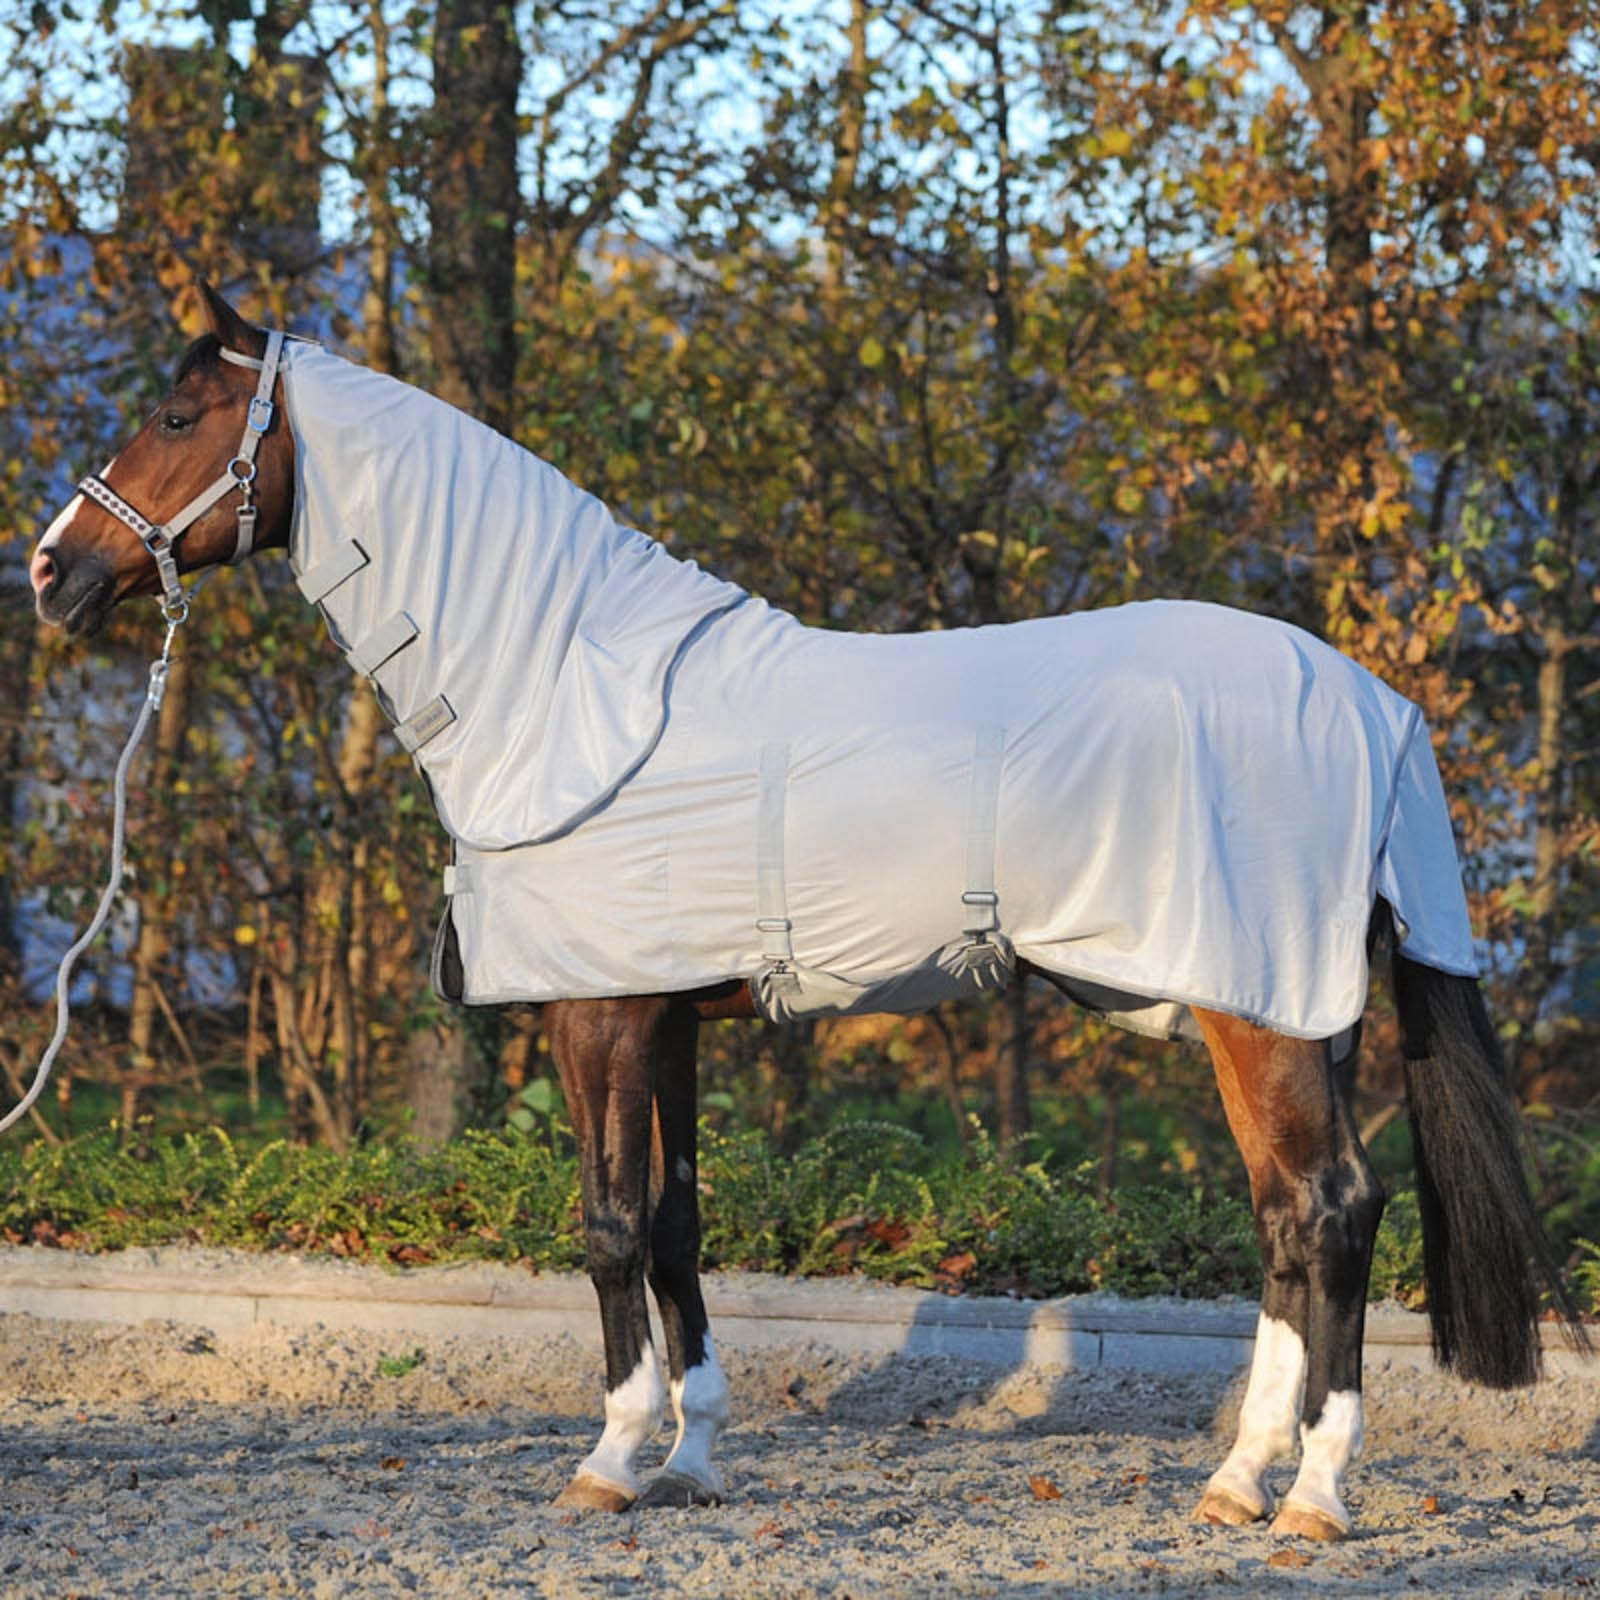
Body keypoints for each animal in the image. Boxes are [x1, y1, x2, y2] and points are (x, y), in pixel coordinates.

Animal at [30, 282, 1580, 1539]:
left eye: (177, 413)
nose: (52, 570)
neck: (563, 690)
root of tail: (1370, 702)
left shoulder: (599, 1013)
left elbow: (606, 1221)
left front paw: (609, 1461)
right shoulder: (665, 1018)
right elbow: (674, 1223)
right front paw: (692, 1457)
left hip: (1261, 1010)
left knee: (1330, 1213)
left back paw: (1310, 1495)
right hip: (1267, 1010)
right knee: (1285, 1221)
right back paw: (1235, 1480)